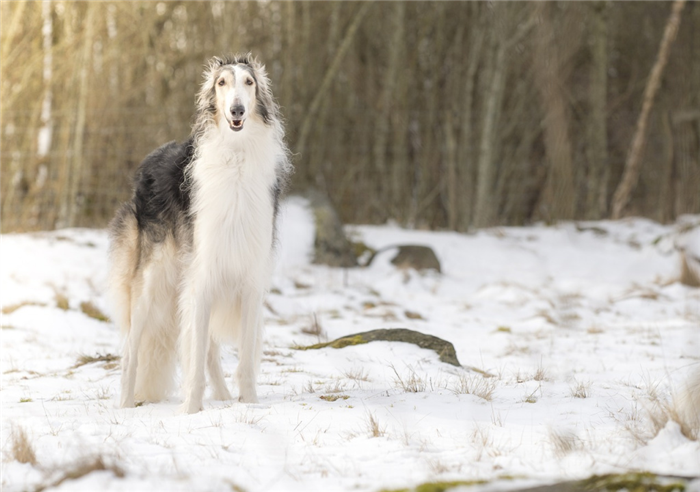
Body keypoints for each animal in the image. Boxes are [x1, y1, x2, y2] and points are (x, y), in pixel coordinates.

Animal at [106, 53, 290, 414]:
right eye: (222, 82)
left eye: (249, 82)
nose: (237, 111)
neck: (235, 158)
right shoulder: (203, 275)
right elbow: (193, 355)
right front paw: (190, 410)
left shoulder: (248, 279)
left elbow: (243, 360)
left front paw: (249, 403)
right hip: (152, 282)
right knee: (132, 350)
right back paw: (125, 404)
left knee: (207, 352)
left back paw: (223, 396)